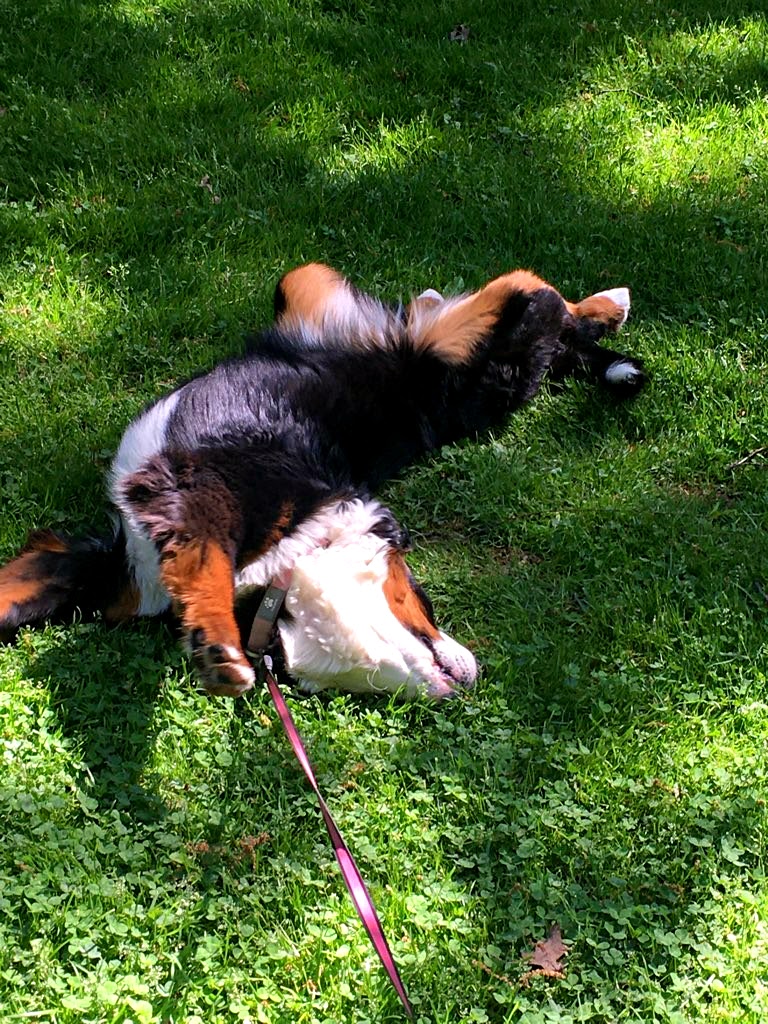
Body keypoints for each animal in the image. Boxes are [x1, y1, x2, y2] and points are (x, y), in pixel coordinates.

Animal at [0, 260, 643, 700]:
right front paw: (217, 645)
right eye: (423, 598)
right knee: (535, 302)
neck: (284, 565)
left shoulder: (188, 505)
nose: (472, 674)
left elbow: (201, 566)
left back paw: (608, 312)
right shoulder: (170, 520)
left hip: (467, 356)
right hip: (355, 307)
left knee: (534, 296)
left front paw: (213, 647)